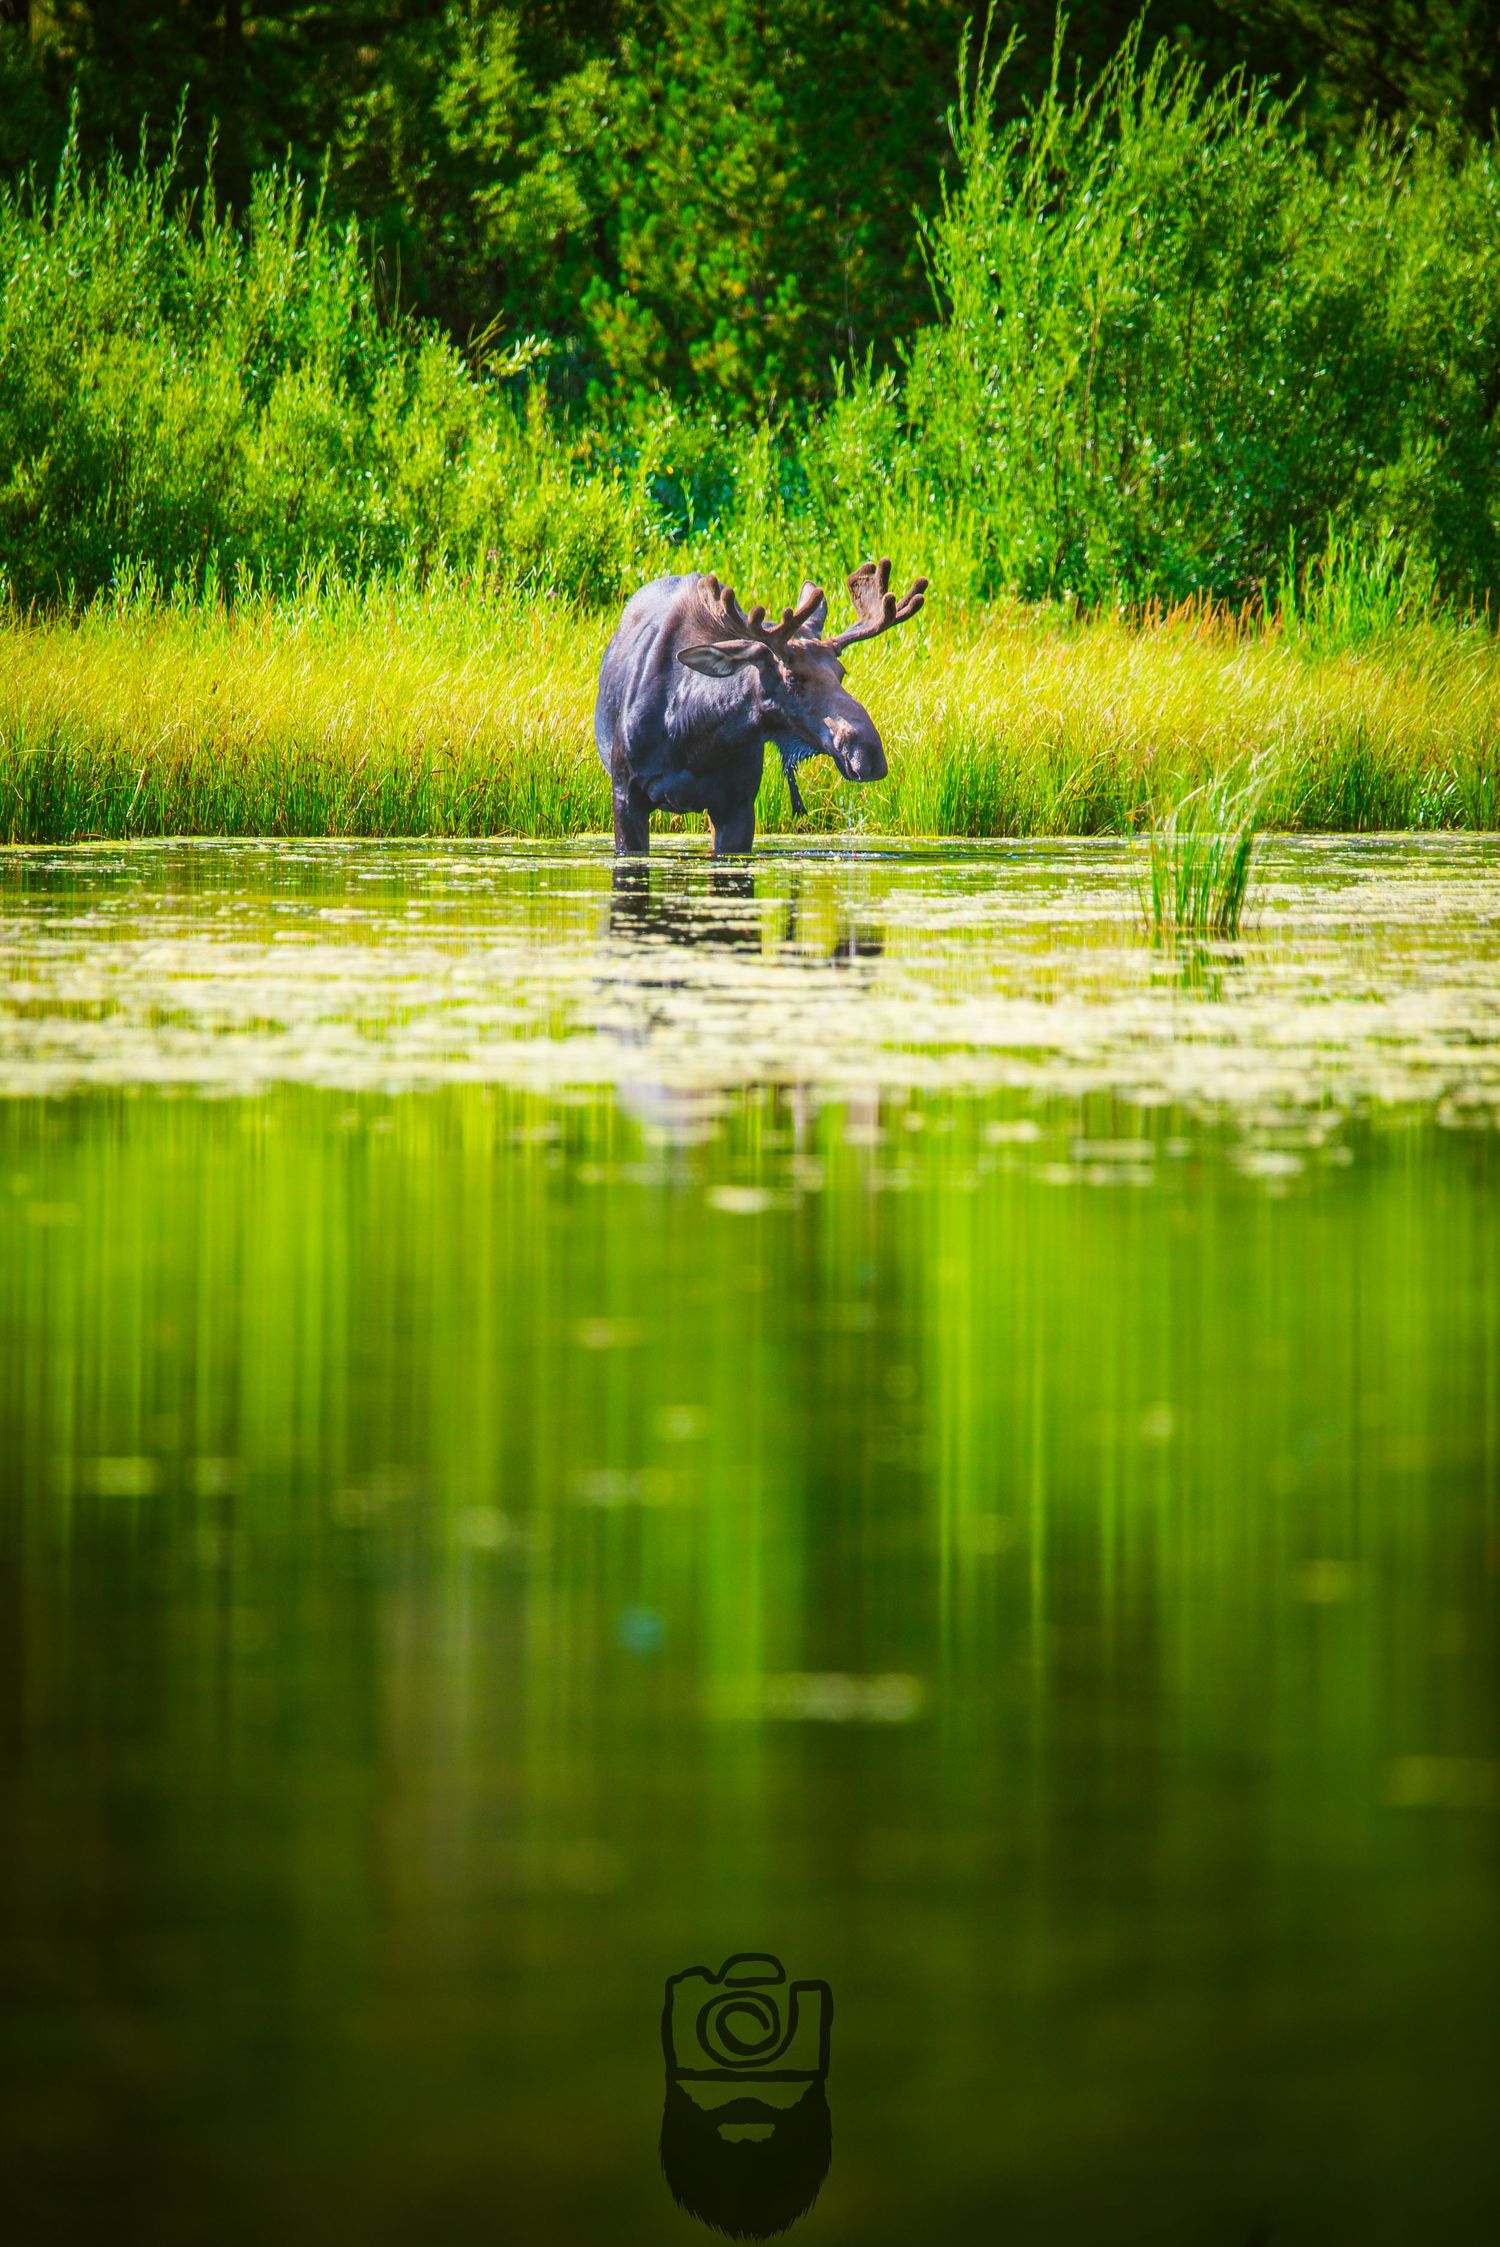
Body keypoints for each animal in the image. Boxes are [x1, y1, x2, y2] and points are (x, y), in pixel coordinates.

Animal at [593, 558, 929, 855]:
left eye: (841, 672)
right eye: (792, 677)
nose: (868, 754)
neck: (693, 733)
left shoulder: (738, 805)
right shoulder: (626, 795)